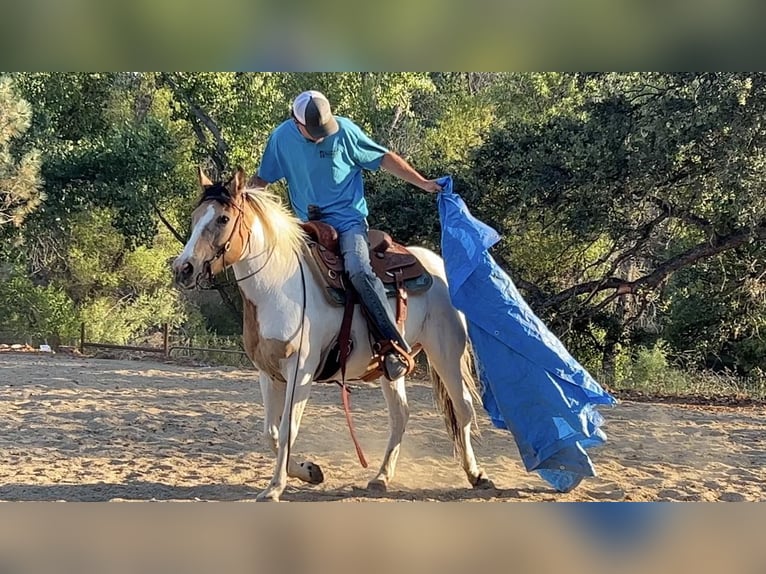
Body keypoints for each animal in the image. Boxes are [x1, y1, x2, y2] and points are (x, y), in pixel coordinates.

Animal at [172, 168, 492, 504]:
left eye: (222, 218)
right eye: (195, 216)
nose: (183, 268)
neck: (276, 286)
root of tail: (436, 264)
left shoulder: (300, 371)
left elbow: (287, 429)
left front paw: (274, 488)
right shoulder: (268, 373)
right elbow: (271, 433)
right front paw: (309, 471)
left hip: (446, 354)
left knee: (463, 409)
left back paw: (477, 475)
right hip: (392, 368)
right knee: (400, 415)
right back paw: (380, 478)